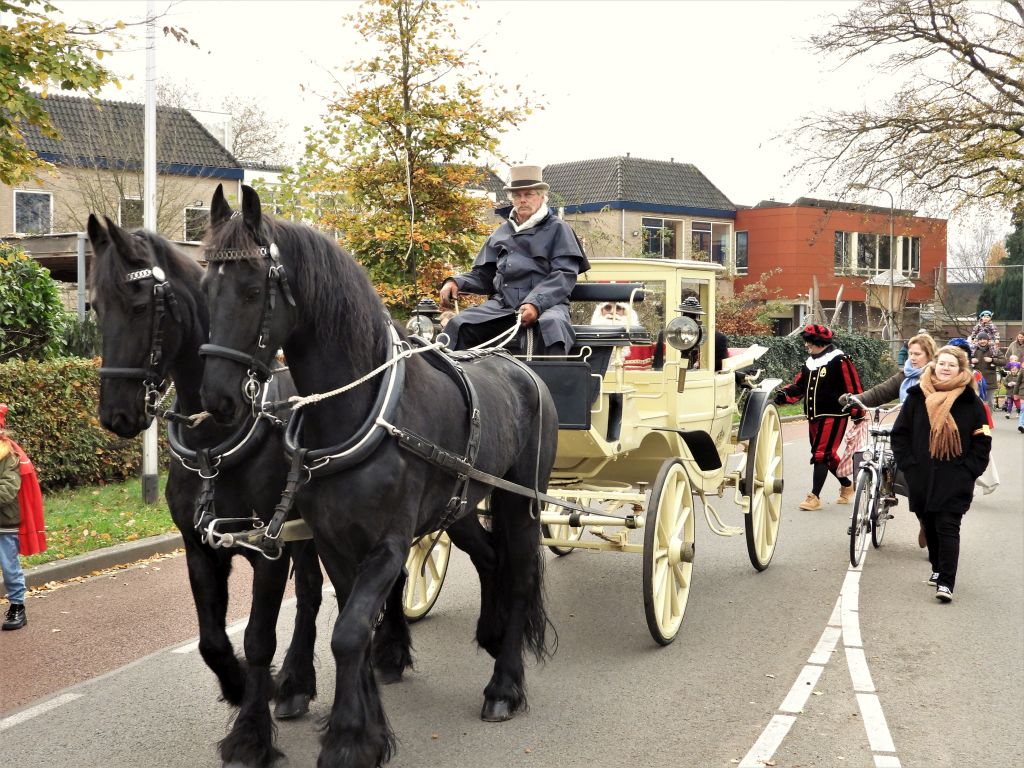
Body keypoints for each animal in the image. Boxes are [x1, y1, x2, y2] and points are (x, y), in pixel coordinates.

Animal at [91, 217, 323, 768]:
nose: (115, 414)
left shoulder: (269, 549)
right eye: (94, 305)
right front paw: (239, 687)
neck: (214, 439)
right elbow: (212, 641)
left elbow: (258, 636)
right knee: (310, 592)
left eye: (138, 305)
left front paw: (251, 734)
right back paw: (296, 684)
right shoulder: (199, 546)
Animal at [196, 186, 557, 768]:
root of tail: (524, 370)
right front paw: (364, 724)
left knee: (520, 573)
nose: (218, 399)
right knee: (490, 559)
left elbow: (347, 634)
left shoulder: (388, 544)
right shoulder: (335, 542)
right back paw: (491, 630)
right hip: (460, 508)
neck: (359, 411)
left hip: (519, 502)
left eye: (252, 290)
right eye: (206, 288)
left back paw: (505, 685)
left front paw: (348, 739)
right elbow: (353, 627)